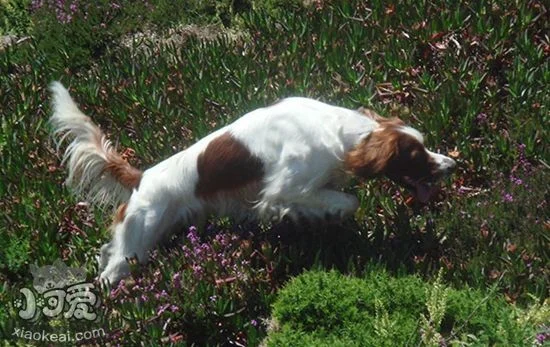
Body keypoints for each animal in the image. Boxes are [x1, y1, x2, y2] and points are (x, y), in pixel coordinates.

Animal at [50, 82, 458, 286]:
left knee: (109, 253)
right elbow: (345, 202)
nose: (452, 164)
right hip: (134, 247)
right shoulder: (282, 191)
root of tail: (142, 177)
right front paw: (326, 218)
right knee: (108, 276)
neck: (338, 132)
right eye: (416, 156)